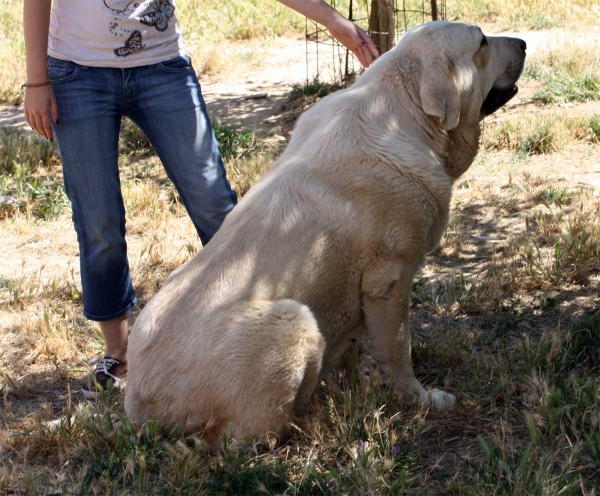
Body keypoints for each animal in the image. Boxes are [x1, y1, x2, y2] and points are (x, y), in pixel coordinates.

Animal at [123, 20, 524, 446]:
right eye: (481, 42)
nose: (524, 44)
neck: (407, 116)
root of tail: (143, 409)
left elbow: (352, 347)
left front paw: (354, 387)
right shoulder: (389, 282)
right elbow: (398, 351)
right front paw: (419, 399)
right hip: (294, 320)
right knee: (250, 436)